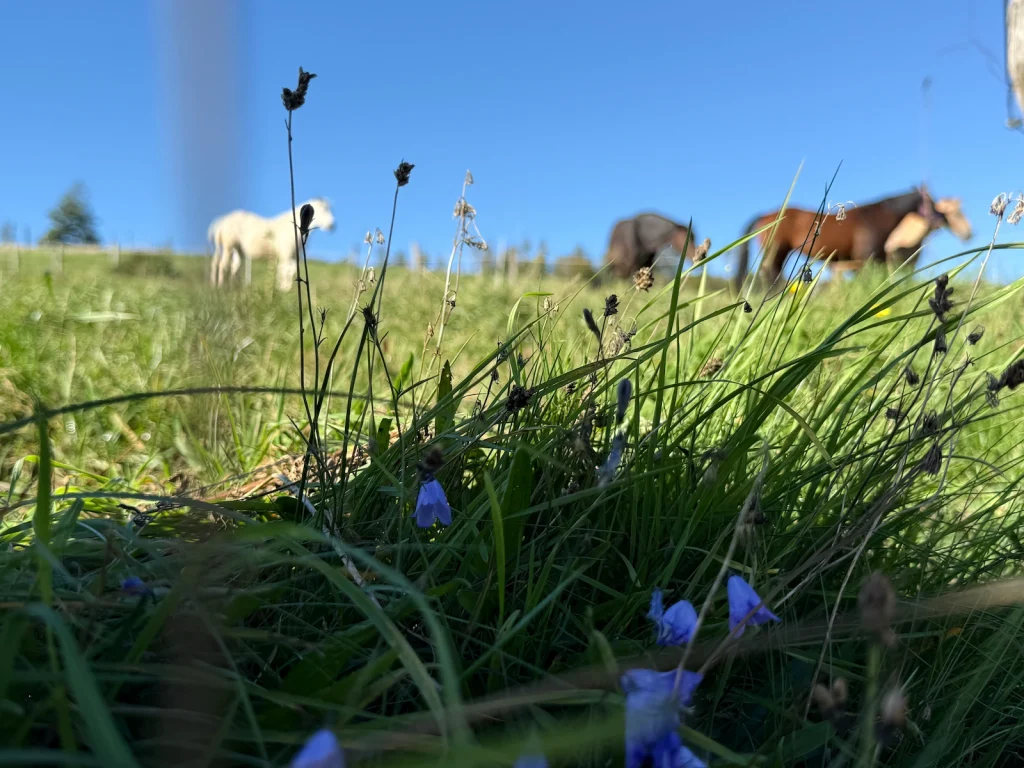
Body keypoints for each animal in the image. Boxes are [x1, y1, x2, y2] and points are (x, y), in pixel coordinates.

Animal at [734, 185, 938, 291]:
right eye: (931, 201)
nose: (940, 217)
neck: (877, 217)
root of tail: (765, 214)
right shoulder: (865, 257)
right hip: (777, 250)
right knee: (770, 273)